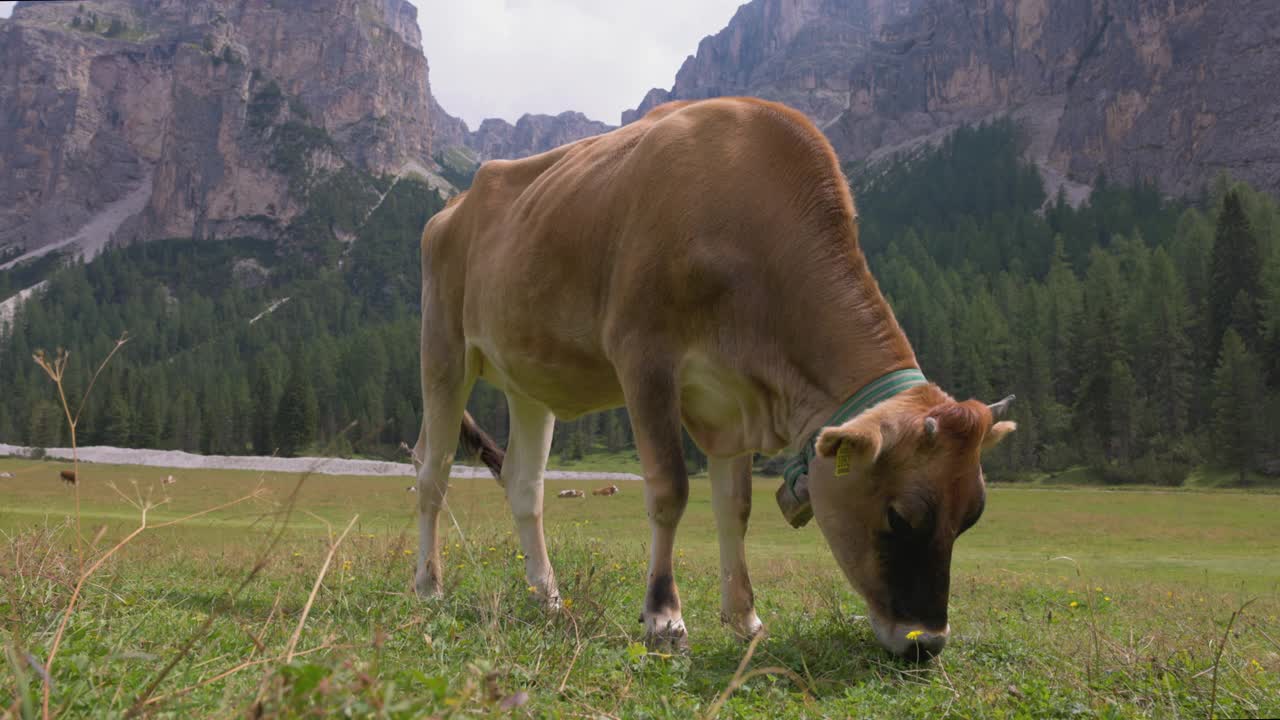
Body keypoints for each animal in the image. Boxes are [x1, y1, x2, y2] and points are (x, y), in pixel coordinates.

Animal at [404, 98, 1013, 661]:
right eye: (900, 514)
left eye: (972, 516)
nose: (927, 643)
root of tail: (452, 208)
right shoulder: (644, 357)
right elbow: (670, 489)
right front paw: (664, 619)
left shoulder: (732, 401)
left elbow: (734, 507)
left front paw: (744, 617)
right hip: (443, 350)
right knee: (433, 470)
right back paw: (429, 586)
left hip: (529, 381)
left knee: (525, 485)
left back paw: (548, 598)